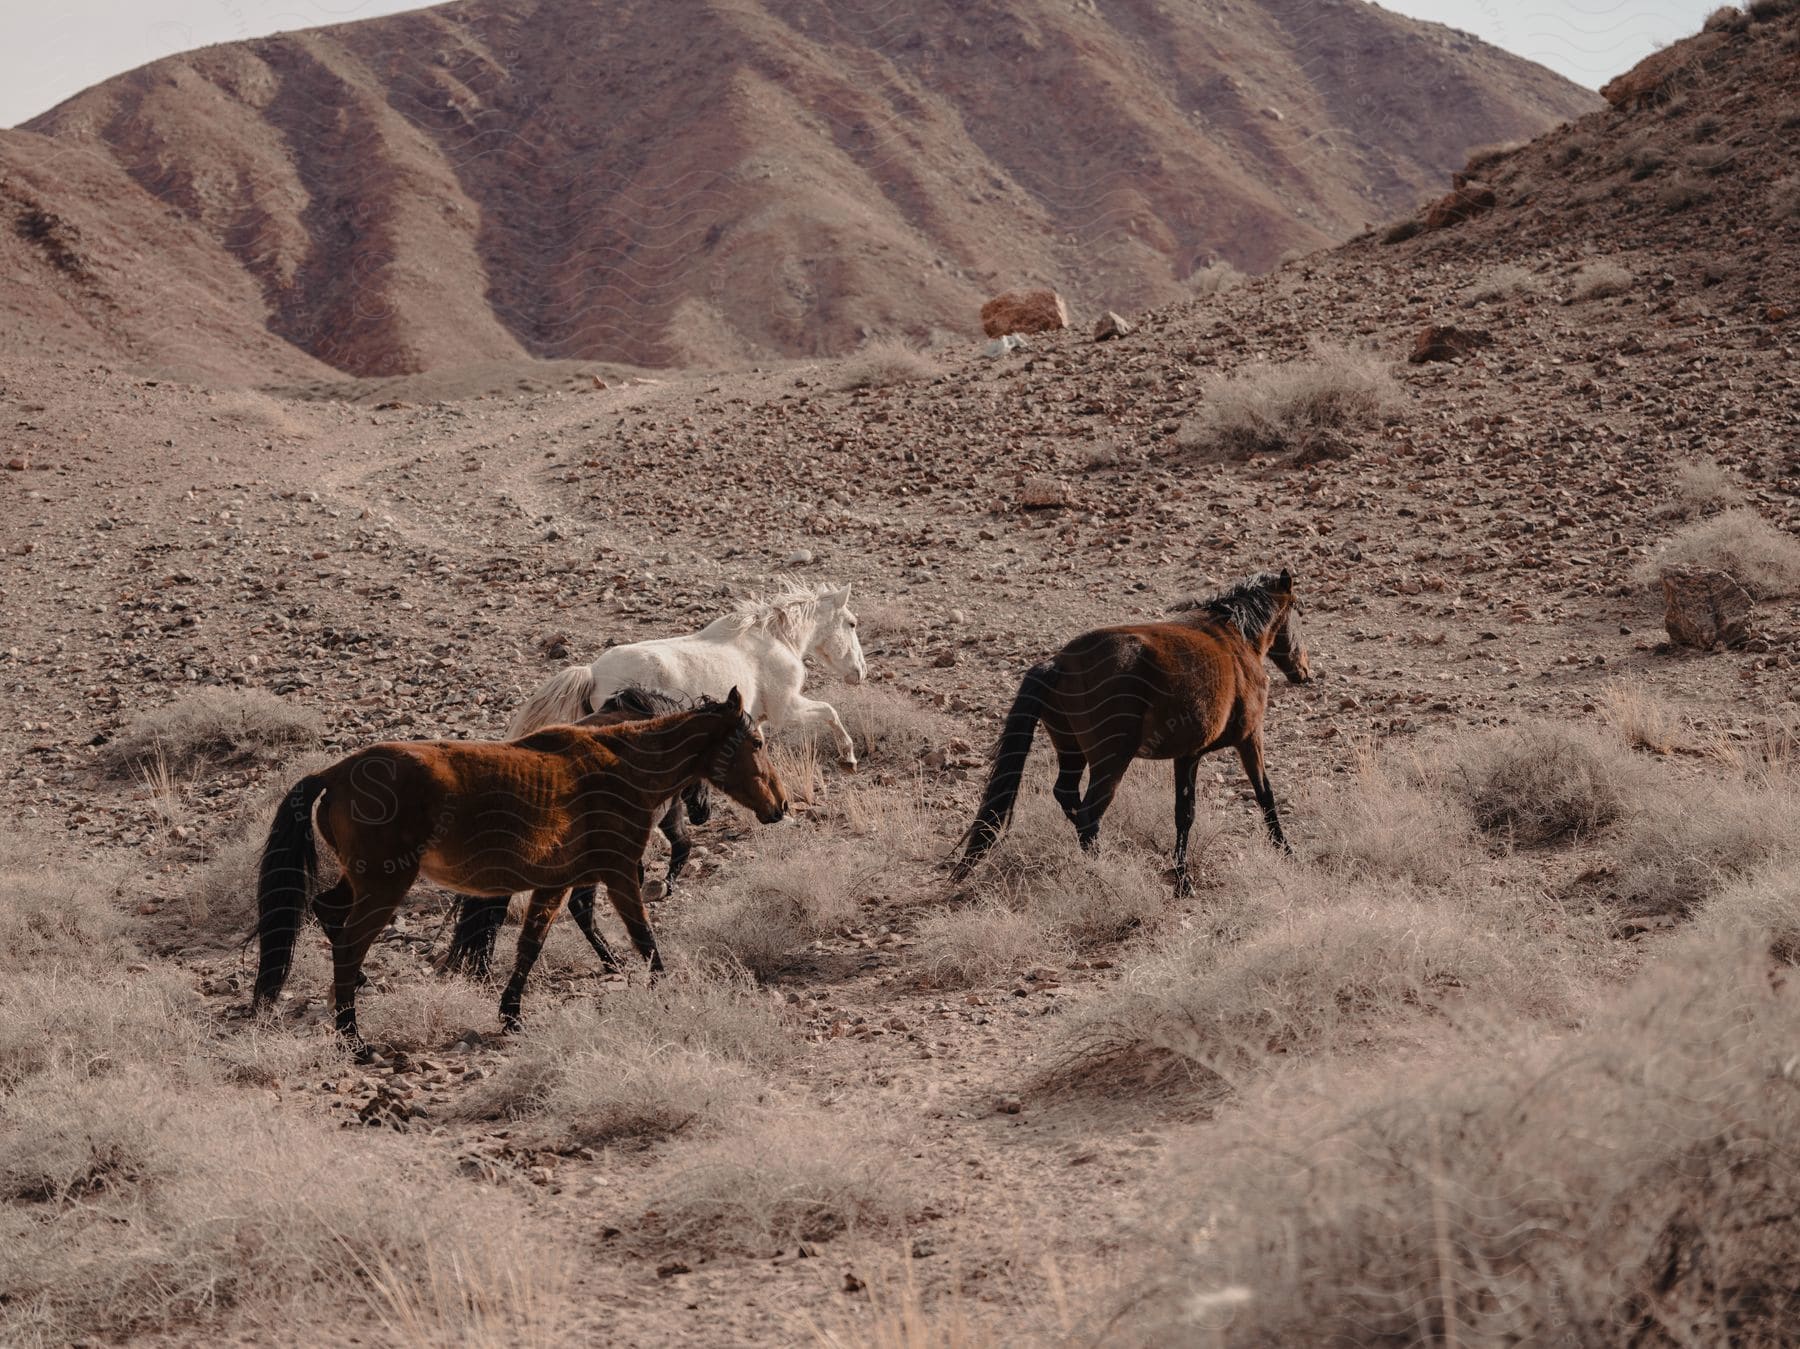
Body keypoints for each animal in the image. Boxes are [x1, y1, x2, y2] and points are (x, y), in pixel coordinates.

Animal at [252, 688, 788, 1044]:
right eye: (757, 744)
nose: (780, 806)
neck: (624, 765)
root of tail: (333, 773)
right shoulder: (619, 873)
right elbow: (644, 937)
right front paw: (667, 990)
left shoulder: (556, 883)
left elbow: (530, 946)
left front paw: (511, 1015)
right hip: (384, 884)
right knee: (348, 945)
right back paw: (353, 1037)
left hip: (361, 881)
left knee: (327, 910)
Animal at [507, 579, 871, 767]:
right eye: (852, 623)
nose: (861, 672)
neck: (775, 640)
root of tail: (592, 671)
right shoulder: (788, 708)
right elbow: (830, 712)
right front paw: (849, 758)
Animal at [957, 569, 1310, 893]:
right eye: (1299, 610)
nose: (1303, 672)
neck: (1236, 637)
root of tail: (1058, 664)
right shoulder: (1249, 738)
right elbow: (1264, 795)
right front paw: (1287, 853)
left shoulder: (1187, 755)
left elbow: (1184, 813)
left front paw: (1182, 878)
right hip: (1111, 761)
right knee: (1089, 814)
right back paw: (1101, 874)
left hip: (1072, 753)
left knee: (1068, 796)